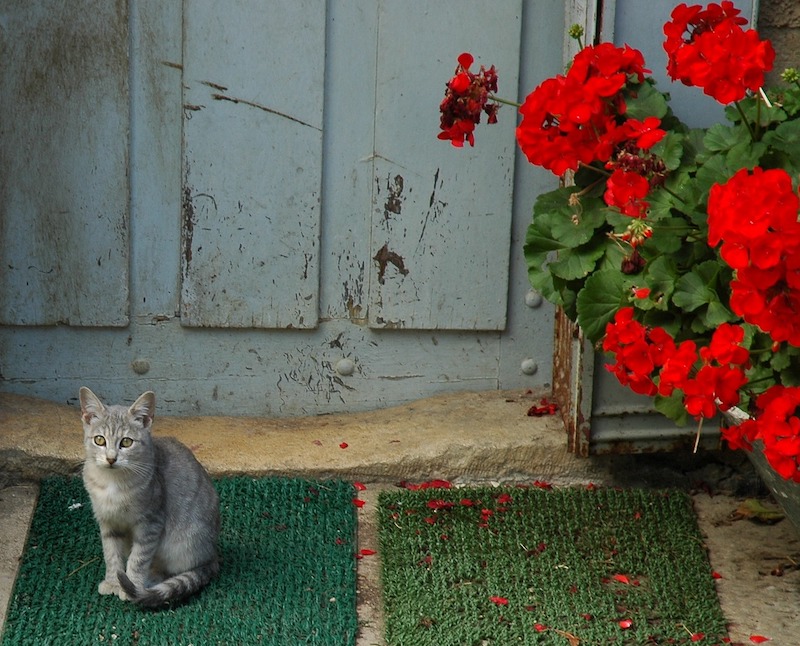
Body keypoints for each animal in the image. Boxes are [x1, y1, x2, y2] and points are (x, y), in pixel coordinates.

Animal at [80, 390, 220, 608]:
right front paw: (113, 582)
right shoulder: (108, 523)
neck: (112, 483)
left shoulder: (151, 522)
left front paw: (131, 586)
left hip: (182, 544)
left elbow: (138, 559)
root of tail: (212, 555)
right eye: (100, 440)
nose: (111, 458)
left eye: (126, 442)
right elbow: (111, 555)